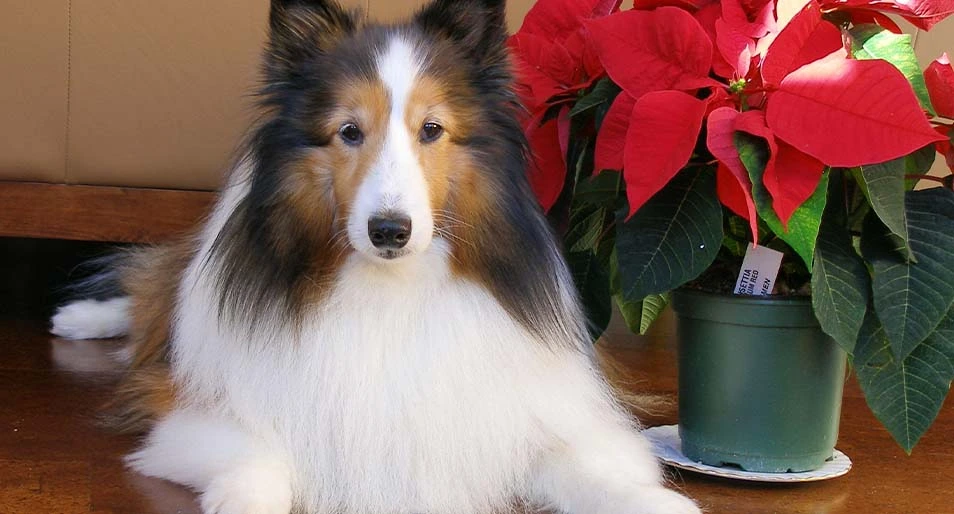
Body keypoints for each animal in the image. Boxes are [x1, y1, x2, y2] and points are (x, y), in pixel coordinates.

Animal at [48, 1, 696, 512]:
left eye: (431, 129)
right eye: (349, 131)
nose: (389, 231)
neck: (392, 289)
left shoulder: (534, 415)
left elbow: (581, 465)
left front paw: (651, 502)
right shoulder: (199, 412)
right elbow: (259, 455)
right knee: (154, 288)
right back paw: (79, 319)